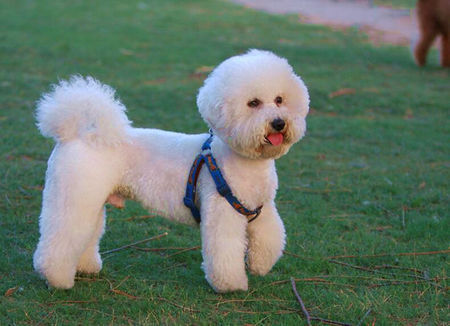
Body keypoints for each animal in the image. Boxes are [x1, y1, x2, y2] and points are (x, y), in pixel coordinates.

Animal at [32, 49, 310, 292]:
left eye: (279, 100)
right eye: (253, 103)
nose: (279, 123)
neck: (243, 160)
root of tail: (76, 134)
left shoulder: (262, 209)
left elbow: (271, 238)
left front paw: (259, 266)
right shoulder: (222, 213)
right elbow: (225, 251)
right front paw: (231, 285)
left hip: (91, 201)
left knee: (86, 235)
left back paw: (85, 267)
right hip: (73, 197)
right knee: (59, 240)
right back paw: (57, 279)